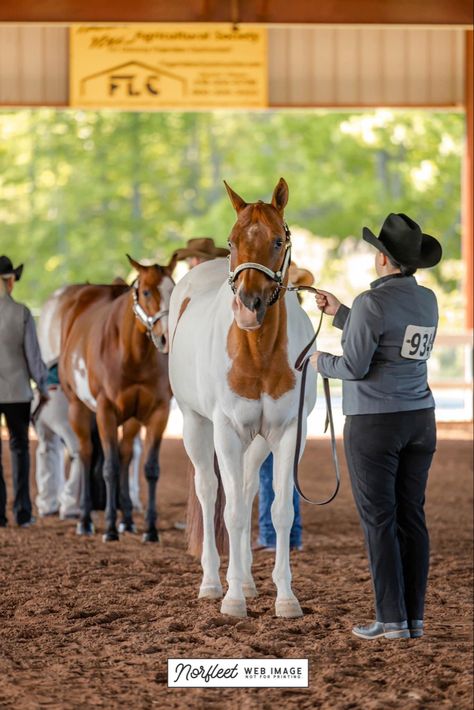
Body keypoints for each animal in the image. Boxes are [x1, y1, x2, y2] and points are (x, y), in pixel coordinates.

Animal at [57, 258, 175, 544]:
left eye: (173, 288)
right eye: (146, 292)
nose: (165, 337)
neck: (132, 355)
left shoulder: (159, 412)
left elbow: (150, 469)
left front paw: (150, 529)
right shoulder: (105, 412)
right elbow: (108, 468)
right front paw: (109, 527)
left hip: (131, 419)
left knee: (125, 455)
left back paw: (128, 520)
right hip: (78, 410)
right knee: (87, 454)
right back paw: (85, 521)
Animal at [168, 179, 316, 616]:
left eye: (278, 240)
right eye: (233, 241)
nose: (248, 305)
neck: (259, 351)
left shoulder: (289, 432)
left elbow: (280, 511)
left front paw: (285, 597)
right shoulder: (228, 430)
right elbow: (231, 512)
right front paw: (232, 600)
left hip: (259, 441)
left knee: (248, 488)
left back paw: (248, 581)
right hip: (196, 426)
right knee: (209, 491)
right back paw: (213, 583)